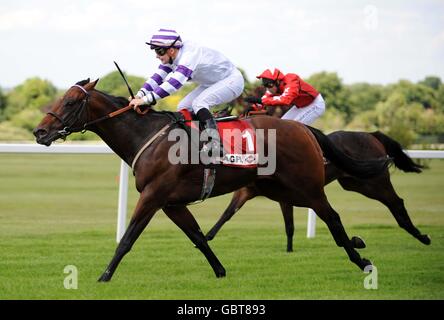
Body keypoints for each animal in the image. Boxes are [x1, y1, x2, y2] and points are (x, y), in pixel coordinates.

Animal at [33, 79, 390, 282]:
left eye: (69, 102)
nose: (39, 132)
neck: (146, 135)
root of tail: (302, 127)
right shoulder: (171, 203)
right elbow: (198, 237)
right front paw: (220, 271)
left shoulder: (152, 196)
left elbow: (127, 238)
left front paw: (104, 276)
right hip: (281, 188)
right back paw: (357, 246)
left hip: (307, 186)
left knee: (334, 217)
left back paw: (361, 258)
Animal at [206, 127, 430, 250]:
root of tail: (370, 134)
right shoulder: (247, 191)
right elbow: (226, 214)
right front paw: (207, 238)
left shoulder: (285, 194)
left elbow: (290, 225)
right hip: (354, 183)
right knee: (393, 202)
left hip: (374, 182)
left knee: (396, 202)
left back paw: (422, 236)